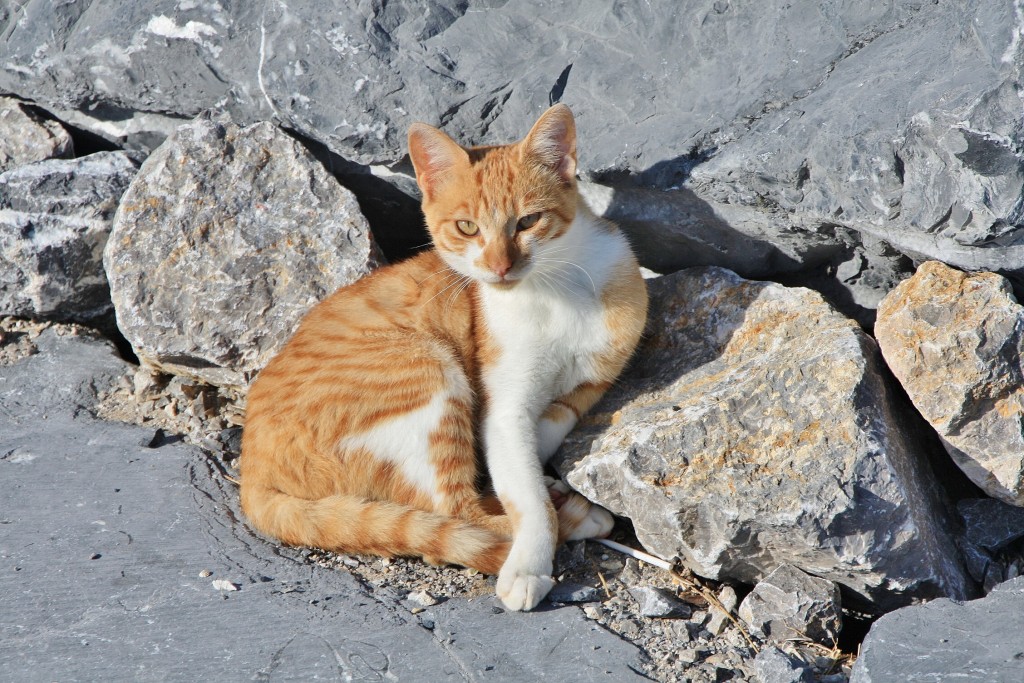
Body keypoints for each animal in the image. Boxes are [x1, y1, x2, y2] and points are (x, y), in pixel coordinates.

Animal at [239, 104, 647, 610]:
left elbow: (535, 449)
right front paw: (530, 564)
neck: (555, 294)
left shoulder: (584, 389)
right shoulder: (503, 409)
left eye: (528, 221)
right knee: (456, 513)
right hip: (429, 370)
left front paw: (538, 481)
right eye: (467, 227)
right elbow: (526, 500)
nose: (499, 267)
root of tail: (249, 468)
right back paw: (572, 520)